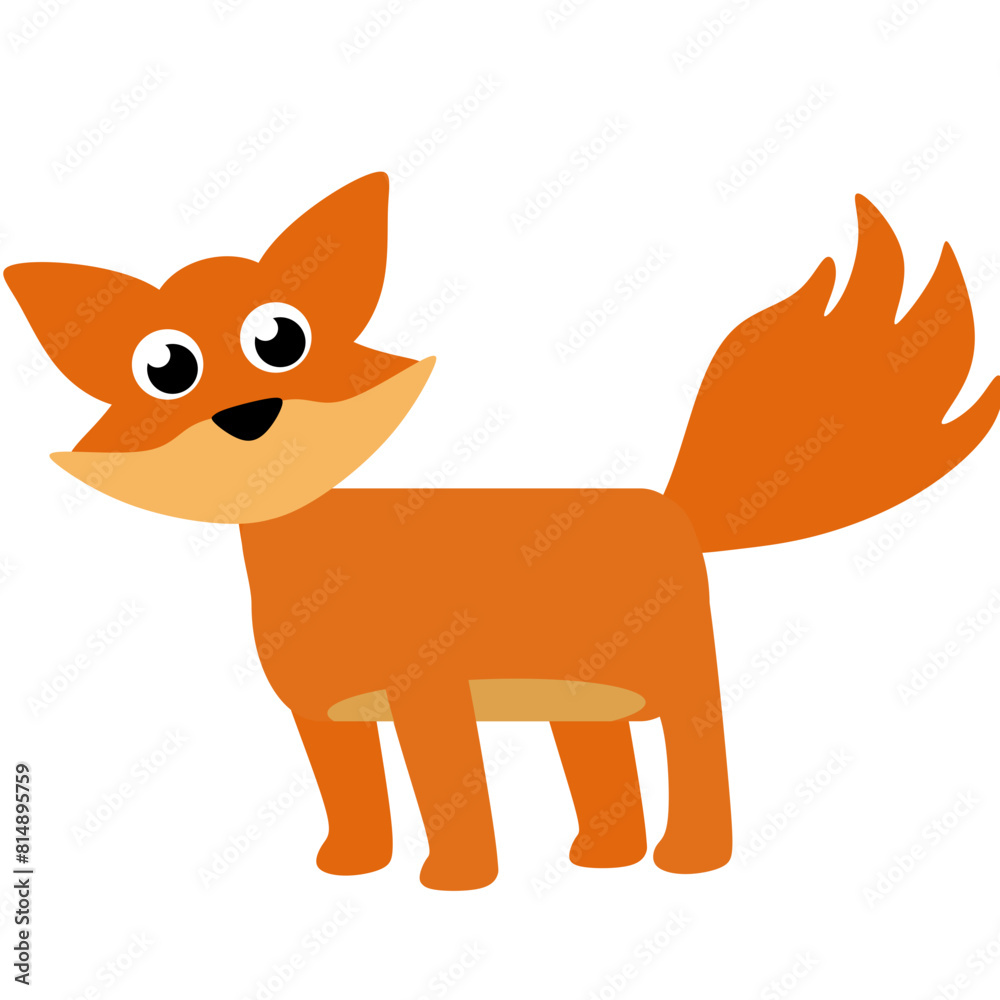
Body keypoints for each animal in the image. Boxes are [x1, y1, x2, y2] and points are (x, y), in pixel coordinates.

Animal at [7, 174, 999, 890]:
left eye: (281, 340)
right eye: (165, 368)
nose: (248, 416)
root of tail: (675, 503)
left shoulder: (431, 693)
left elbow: (452, 793)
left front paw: (454, 881)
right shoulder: (324, 719)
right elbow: (353, 797)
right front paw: (352, 868)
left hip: (677, 677)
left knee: (700, 755)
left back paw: (691, 860)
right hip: (583, 701)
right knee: (607, 774)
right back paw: (602, 860)